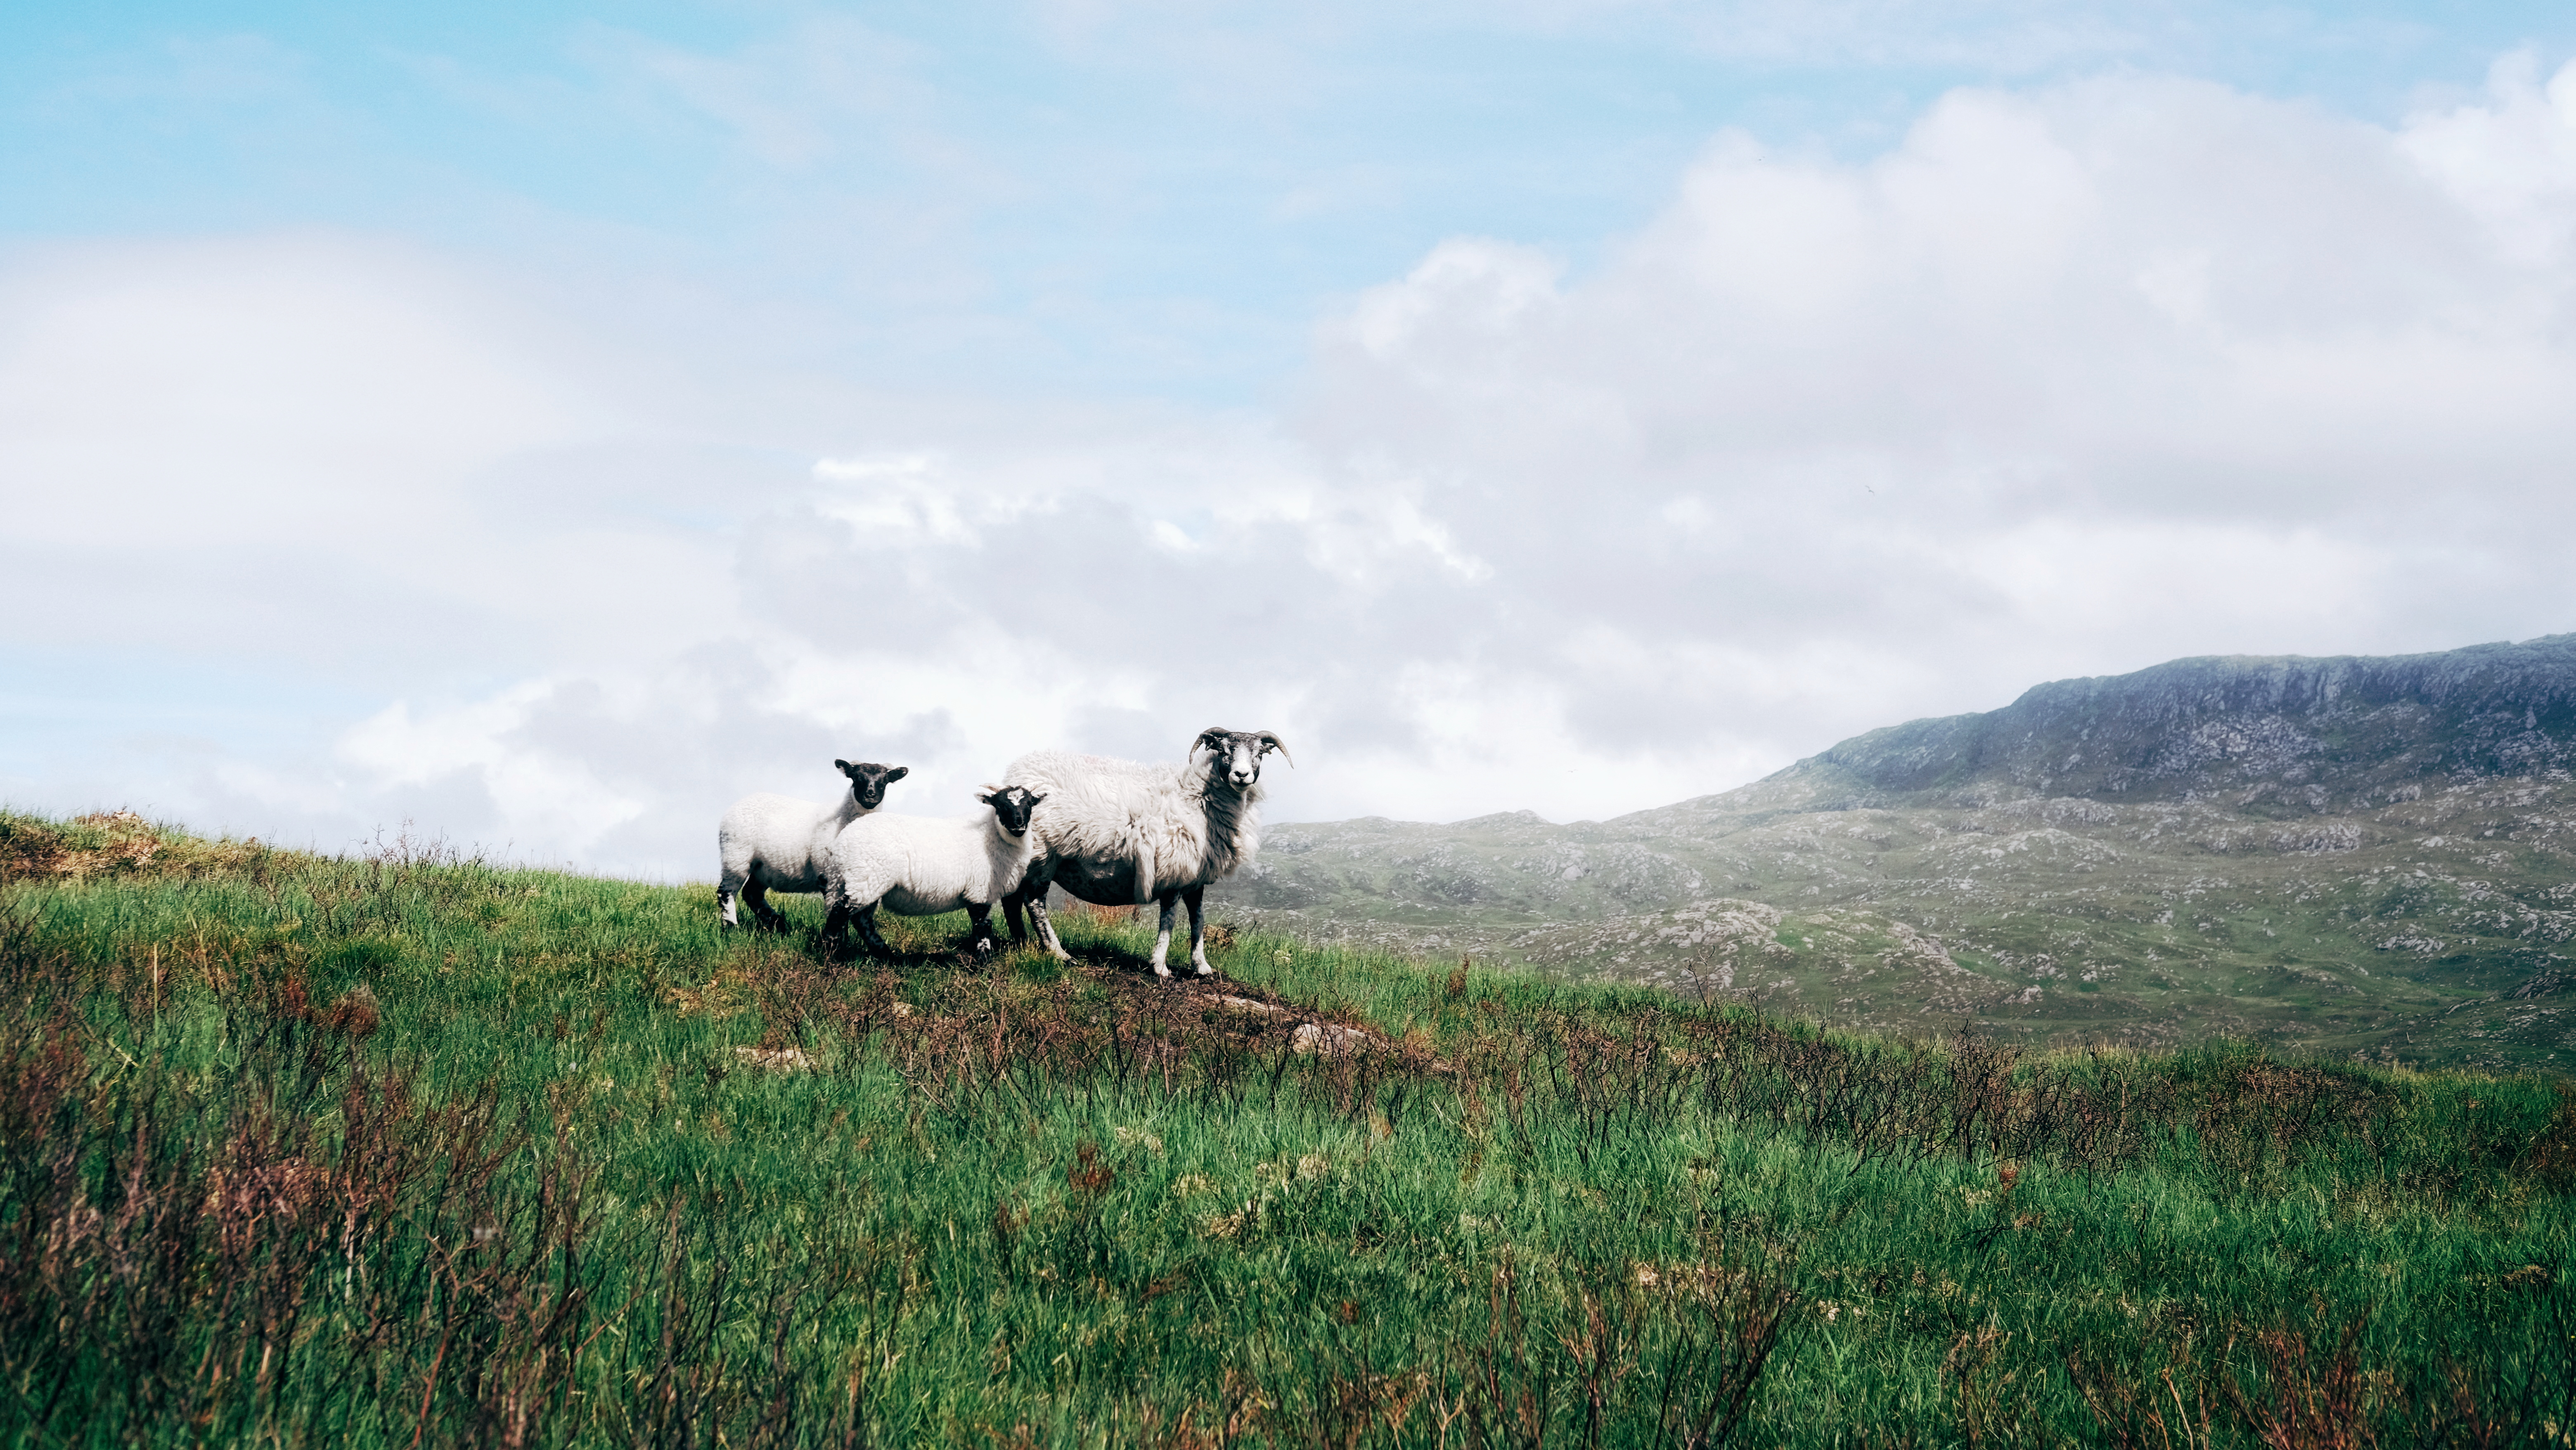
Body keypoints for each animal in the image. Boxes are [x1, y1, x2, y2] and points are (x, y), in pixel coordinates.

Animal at [999, 731, 1288, 983]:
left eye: (1259, 753)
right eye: (1224, 750)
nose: (1242, 775)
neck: (1198, 798)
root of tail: (1017, 775)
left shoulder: (1195, 878)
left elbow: (1198, 920)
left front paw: (1202, 967)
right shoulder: (1174, 870)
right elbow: (1169, 920)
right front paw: (1160, 966)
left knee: (1012, 900)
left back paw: (1022, 944)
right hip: (1044, 855)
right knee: (1034, 903)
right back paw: (1059, 953)